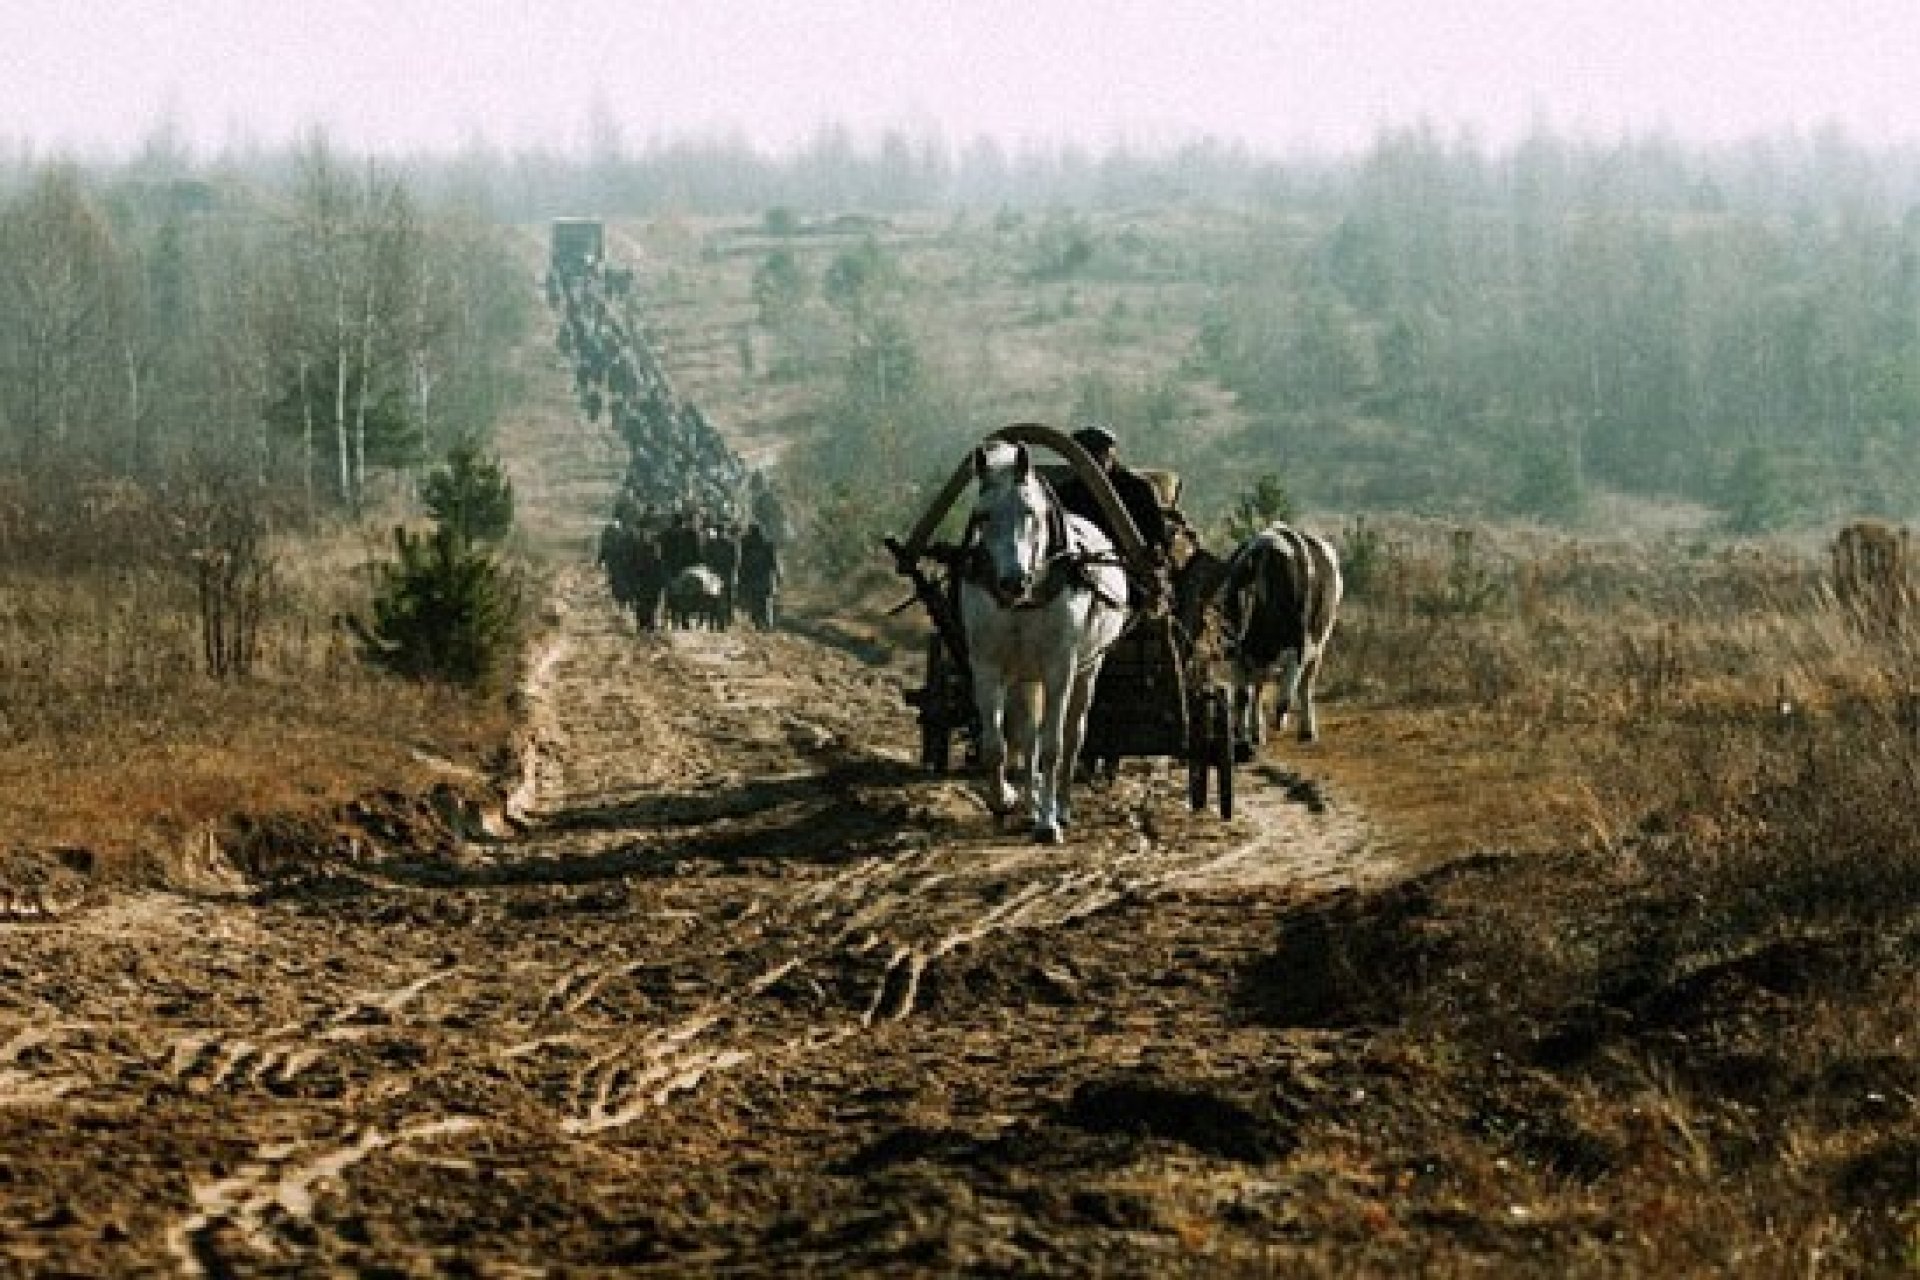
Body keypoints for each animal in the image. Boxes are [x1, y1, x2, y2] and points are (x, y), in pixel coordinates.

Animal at [956, 445, 1121, 844]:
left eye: (1029, 511)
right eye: (983, 514)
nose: (1012, 582)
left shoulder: (1060, 667)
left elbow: (1053, 747)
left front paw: (1048, 823)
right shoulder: (987, 666)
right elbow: (996, 747)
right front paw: (1004, 800)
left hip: (1087, 666)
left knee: (1073, 735)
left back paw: (1059, 808)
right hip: (1025, 676)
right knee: (1027, 736)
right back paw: (1031, 806)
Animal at [1221, 525, 1344, 752]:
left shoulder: (1295, 649)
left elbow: (1269, 697)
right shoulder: (1244, 655)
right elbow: (1247, 696)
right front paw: (1246, 736)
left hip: (1315, 644)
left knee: (1298, 687)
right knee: (1280, 688)